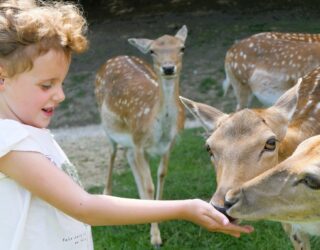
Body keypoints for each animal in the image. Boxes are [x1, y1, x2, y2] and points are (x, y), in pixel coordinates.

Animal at [94, 24, 186, 246]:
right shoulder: (138, 141)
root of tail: (114, 57)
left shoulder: (169, 144)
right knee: (112, 154)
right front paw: (155, 237)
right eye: (153, 50)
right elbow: (150, 185)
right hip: (107, 124)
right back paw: (107, 195)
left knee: (128, 157)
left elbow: (161, 175)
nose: (168, 68)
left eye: (182, 48)